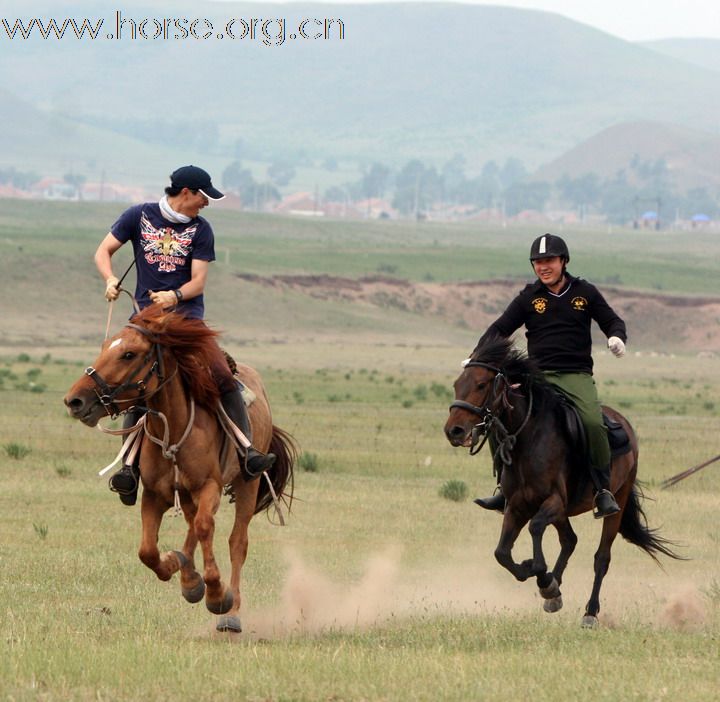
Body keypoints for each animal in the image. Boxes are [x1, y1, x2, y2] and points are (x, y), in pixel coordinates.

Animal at [64, 306, 296, 632]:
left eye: (129, 354)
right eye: (104, 347)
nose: (75, 400)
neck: (173, 428)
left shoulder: (209, 487)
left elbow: (205, 528)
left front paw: (217, 595)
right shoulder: (154, 494)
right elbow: (148, 551)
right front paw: (181, 570)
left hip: (246, 484)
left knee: (236, 541)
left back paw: (232, 612)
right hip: (185, 493)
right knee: (191, 527)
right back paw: (188, 577)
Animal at [442, 338, 684, 628]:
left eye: (480, 384)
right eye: (457, 384)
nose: (454, 431)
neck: (528, 439)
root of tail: (623, 423)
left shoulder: (553, 501)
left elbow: (535, 529)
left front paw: (538, 571)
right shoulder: (517, 505)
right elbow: (501, 553)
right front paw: (543, 580)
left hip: (618, 500)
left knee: (601, 557)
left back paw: (589, 611)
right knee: (570, 539)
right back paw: (554, 592)